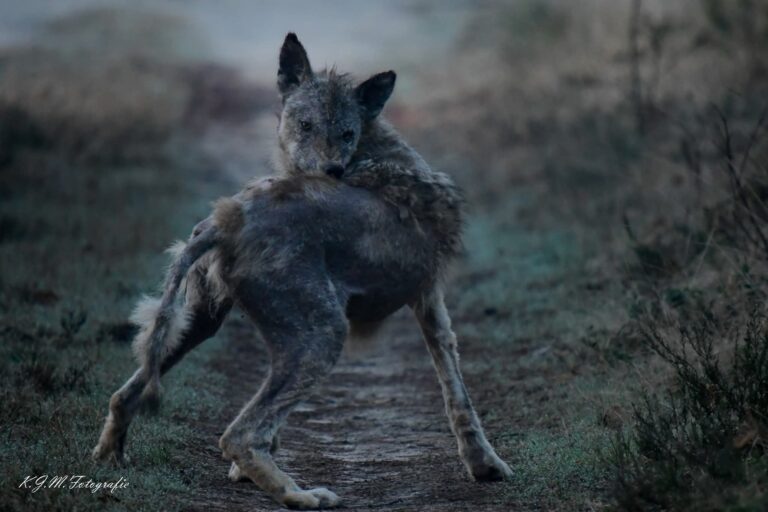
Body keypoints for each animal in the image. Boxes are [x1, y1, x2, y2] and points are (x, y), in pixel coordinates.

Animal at [92, 33, 512, 509]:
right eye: (306, 125)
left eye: (347, 133)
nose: (332, 170)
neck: (372, 149)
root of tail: (225, 219)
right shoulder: (428, 297)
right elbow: (456, 388)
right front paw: (485, 464)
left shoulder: (425, 298)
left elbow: (455, 390)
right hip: (322, 334)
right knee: (238, 435)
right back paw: (302, 494)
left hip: (198, 325)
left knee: (125, 395)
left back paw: (110, 461)